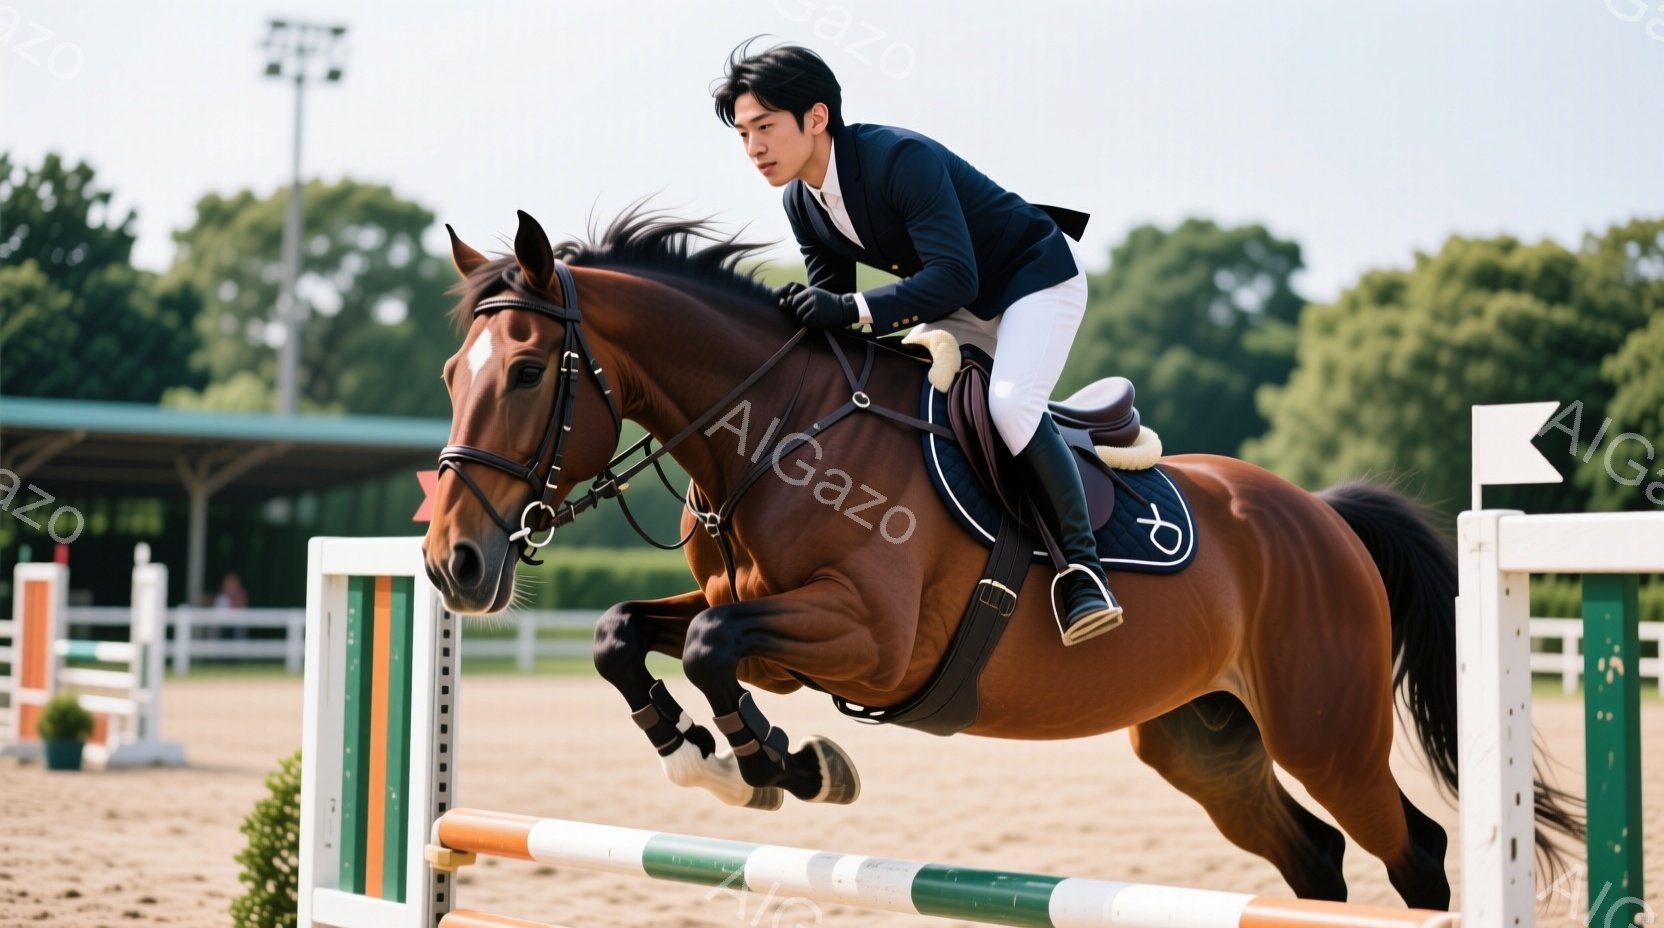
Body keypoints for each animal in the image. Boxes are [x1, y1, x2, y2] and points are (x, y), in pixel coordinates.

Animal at [421, 208, 1582, 911]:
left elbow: (708, 644)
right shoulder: (769, 629)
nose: (451, 566)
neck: (776, 430)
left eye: (525, 372)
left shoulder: (868, 638)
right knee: (1314, 858)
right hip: (1203, 739)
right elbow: (627, 632)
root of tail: (1322, 515)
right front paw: (703, 756)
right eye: (449, 372)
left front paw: (783, 766)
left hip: (1324, 729)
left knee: (1411, 852)